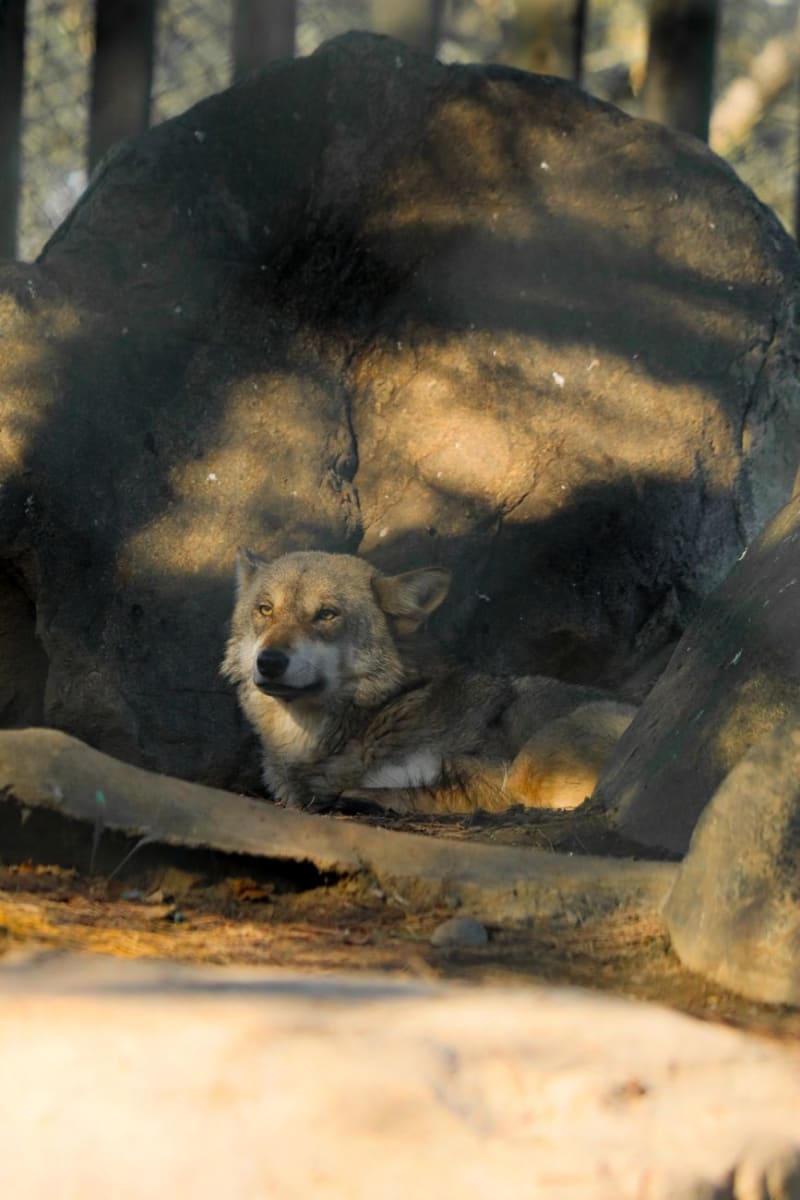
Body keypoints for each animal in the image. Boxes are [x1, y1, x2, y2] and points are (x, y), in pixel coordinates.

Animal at [222, 549, 636, 814]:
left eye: (326, 614)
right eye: (265, 610)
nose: (270, 661)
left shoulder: (489, 771)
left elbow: (459, 793)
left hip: (532, 763)